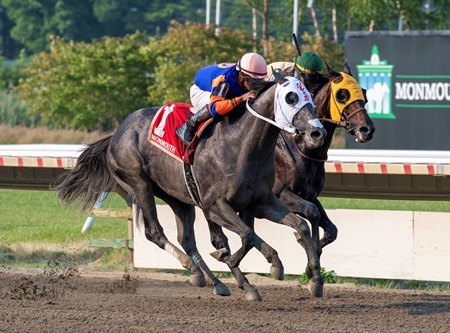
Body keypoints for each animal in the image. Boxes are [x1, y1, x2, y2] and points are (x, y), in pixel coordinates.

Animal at [55, 73, 326, 300]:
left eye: (310, 96)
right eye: (291, 97)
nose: (317, 133)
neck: (241, 145)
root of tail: (116, 134)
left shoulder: (262, 201)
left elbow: (298, 224)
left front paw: (314, 279)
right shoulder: (215, 206)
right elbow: (247, 236)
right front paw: (272, 265)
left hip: (178, 196)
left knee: (187, 239)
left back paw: (217, 281)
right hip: (139, 184)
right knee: (155, 232)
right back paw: (193, 268)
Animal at [206, 63, 374, 294]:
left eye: (364, 94)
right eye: (342, 95)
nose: (367, 130)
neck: (301, 146)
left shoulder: (309, 195)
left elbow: (330, 229)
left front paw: (311, 268)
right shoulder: (280, 195)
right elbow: (311, 215)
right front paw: (311, 268)